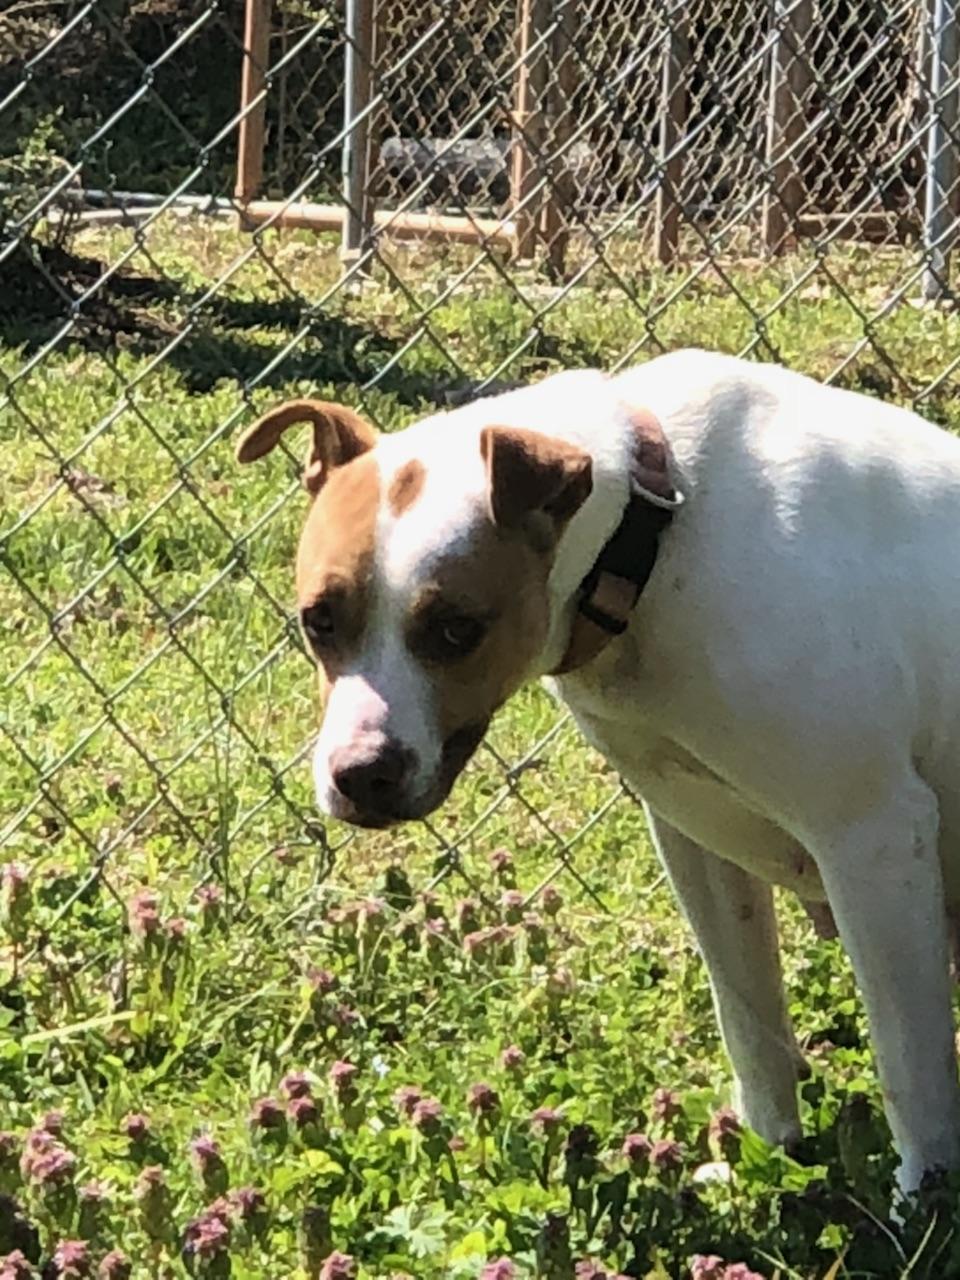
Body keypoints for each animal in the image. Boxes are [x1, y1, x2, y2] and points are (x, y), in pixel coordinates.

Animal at [240, 353, 960, 1198]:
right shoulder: (695, 836)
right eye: (319, 620)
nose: (360, 775)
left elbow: (911, 1069)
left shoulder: (871, 840)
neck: (655, 533)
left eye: (456, 629)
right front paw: (765, 1152)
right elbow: (750, 1019)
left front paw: (924, 1203)